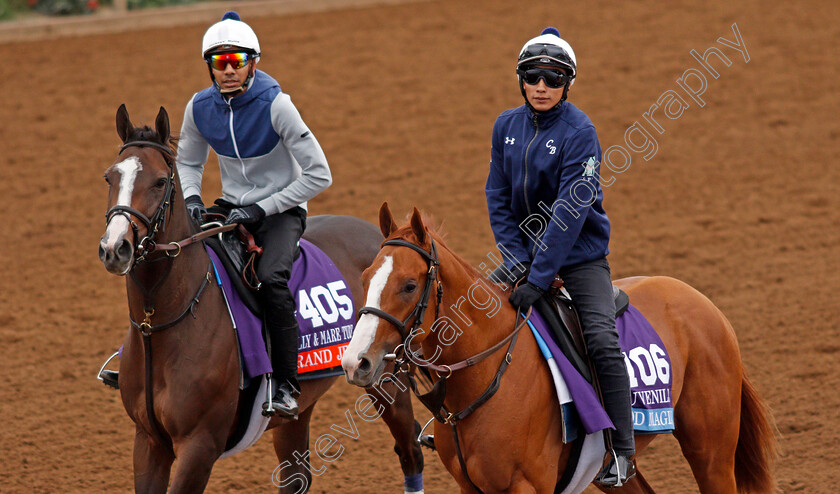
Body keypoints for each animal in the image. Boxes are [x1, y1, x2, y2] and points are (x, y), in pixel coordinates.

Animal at [99, 106, 426, 492]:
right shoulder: (148, 441)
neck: (164, 325)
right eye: (110, 177)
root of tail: (391, 238)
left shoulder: (200, 445)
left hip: (384, 379)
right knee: (297, 475)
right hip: (300, 408)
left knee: (410, 450)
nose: (115, 247)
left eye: (161, 181)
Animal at [340, 203, 776, 492]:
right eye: (364, 277)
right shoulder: (471, 487)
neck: (490, 375)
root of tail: (703, 303)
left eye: (409, 285)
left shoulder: (528, 486)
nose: (355, 362)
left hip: (711, 451)